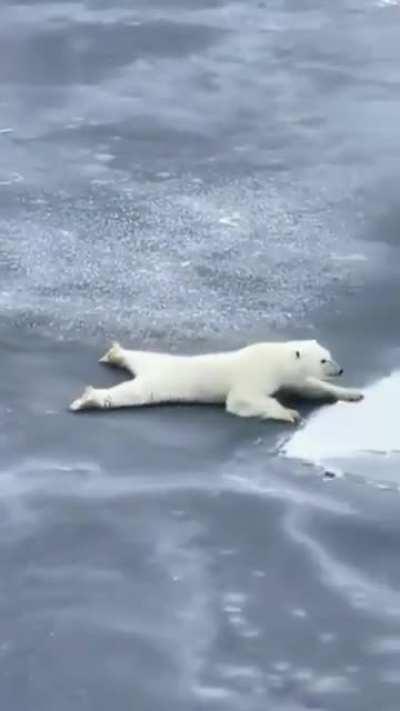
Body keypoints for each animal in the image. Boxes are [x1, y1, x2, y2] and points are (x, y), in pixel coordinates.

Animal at [69, 339, 363, 423]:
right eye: (324, 360)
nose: (340, 369)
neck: (276, 358)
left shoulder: (287, 377)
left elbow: (308, 387)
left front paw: (353, 393)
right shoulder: (256, 372)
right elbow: (241, 400)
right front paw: (289, 413)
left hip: (155, 362)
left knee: (140, 355)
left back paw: (116, 353)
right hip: (158, 382)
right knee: (129, 395)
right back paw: (89, 399)